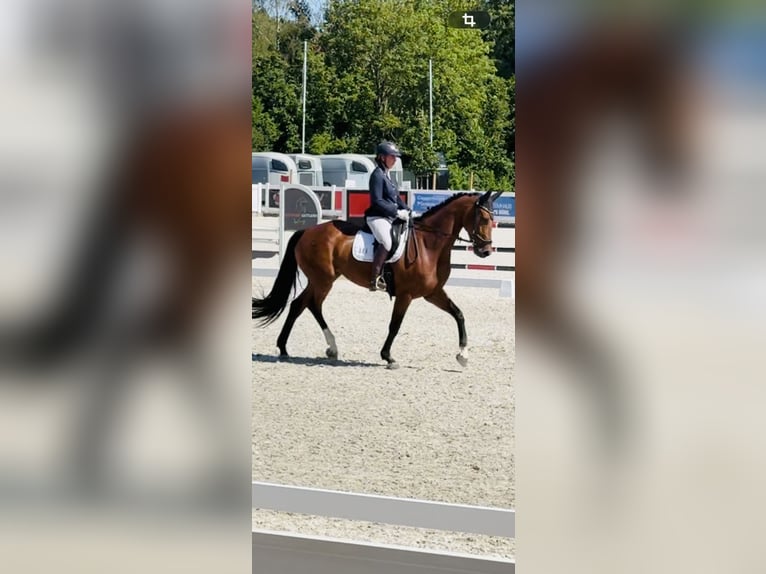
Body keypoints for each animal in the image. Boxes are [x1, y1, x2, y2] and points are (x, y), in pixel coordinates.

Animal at [252, 190, 504, 368]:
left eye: (493, 219)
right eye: (483, 218)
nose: (486, 251)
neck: (429, 244)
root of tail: (306, 231)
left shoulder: (433, 293)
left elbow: (458, 314)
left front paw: (463, 355)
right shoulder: (406, 294)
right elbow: (395, 325)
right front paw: (388, 356)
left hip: (321, 280)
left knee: (300, 305)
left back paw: (290, 348)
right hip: (323, 280)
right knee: (310, 304)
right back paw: (316, 347)